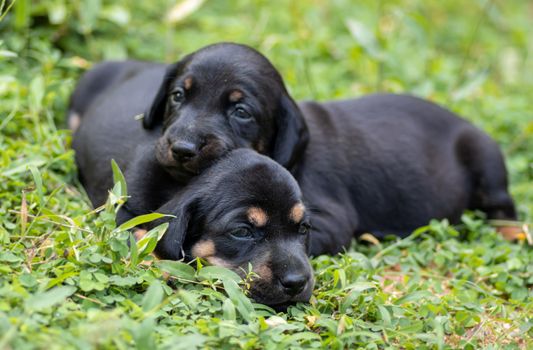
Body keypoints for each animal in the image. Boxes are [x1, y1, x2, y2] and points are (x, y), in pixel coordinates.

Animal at [70, 43, 516, 304]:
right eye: (179, 95)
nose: (182, 149)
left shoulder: (330, 219)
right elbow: (140, 228)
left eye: (241, 111)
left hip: (487, 160)